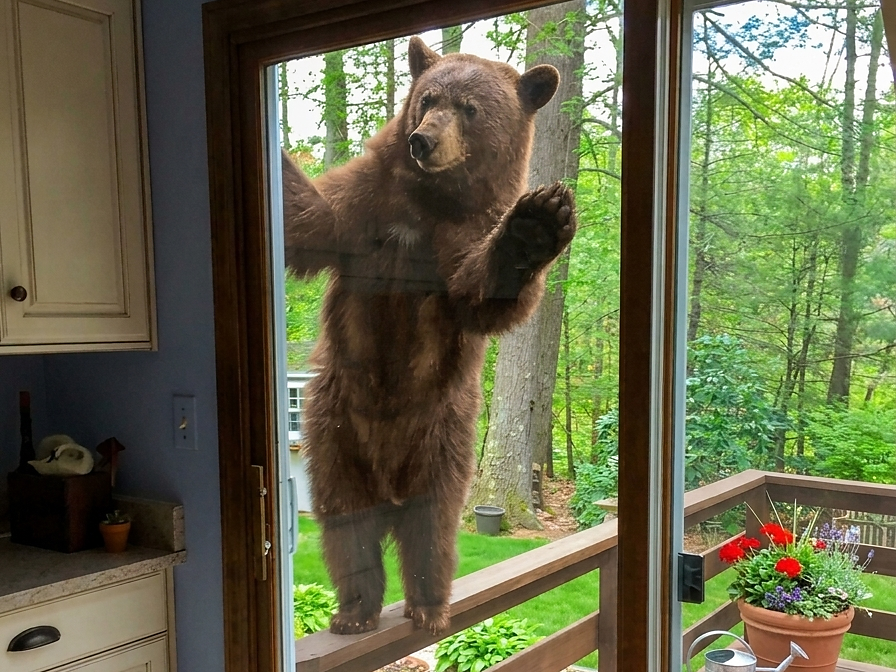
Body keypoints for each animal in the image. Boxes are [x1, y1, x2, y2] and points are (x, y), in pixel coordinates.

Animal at [281, 36, 576, 636]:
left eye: (471, 108)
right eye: (427, 98)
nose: (423, 140)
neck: (429, 204)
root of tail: (389, 483)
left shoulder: (458, 241)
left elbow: (482, 295)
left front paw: (535, 224)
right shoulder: (366, 205)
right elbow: (311, 222)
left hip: (443, 434)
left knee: (432, 524)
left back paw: (427, 604)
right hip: (336, 429)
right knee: (345, 519)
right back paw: (355, 610)